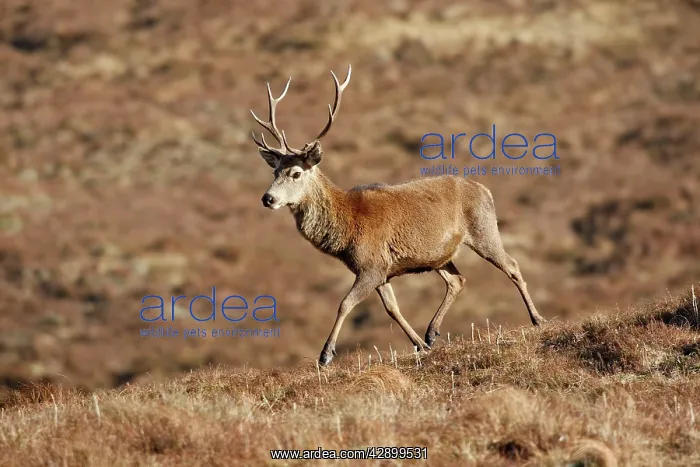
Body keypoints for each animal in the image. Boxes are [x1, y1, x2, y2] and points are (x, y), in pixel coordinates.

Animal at [250, 65, 547, 366]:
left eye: (296, 173)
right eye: (275, 172)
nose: (268, 198)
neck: (347, 227)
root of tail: (486, 190)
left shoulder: (371, 264)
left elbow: (345, 303)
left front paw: (325, 354)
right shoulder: (381, 270)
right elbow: (392, 308)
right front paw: (419, 345)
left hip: (484, 229)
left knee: (512, 265)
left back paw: (538, 319)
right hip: (440, 254)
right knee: (457, 280)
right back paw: (431, 332)